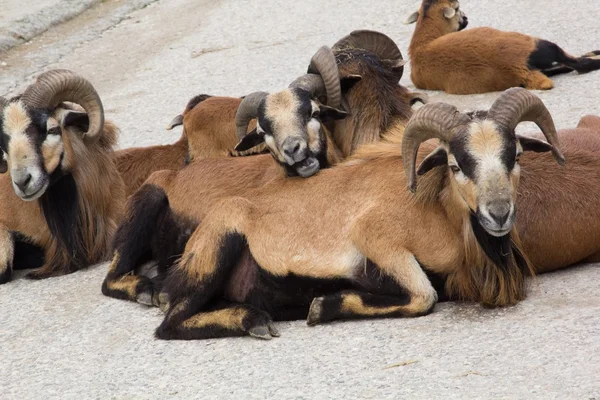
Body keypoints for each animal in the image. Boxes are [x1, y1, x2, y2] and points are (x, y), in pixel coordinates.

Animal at [102, 31, 422, 306]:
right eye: (264, 129)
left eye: (313, 111)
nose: (294, 149)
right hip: (144, 209)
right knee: (111, 279)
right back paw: (149, 290)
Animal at [152, 89, 564, 342]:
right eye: (455, 164)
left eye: (516, 155)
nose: (499, 214)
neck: (437, 214)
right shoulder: (376, 237)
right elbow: (424, 296)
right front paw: (321, 307)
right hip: (218, 247)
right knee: (169, 323)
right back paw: (254, 320)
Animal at [406, 0, 600, 94]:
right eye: (458, 8)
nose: (466, 18)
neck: (422, 43)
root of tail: (514, 66)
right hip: (537, 44)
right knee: (576, 63)